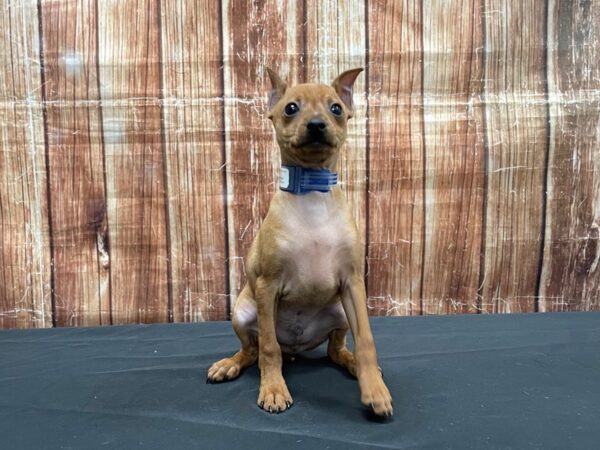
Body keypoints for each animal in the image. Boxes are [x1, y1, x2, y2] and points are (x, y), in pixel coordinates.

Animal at [207, 67, 394, 418]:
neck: (312, 191)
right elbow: (269, 348)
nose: (317, 125)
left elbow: (367, 340)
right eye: (291, 108)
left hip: (340, 311)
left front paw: (375, 390)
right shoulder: (267, 286)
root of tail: (295, 347)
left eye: (336, 109)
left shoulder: (352, 284)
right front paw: (273, 389)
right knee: (254, 350)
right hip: (243, 312)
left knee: (335, 349)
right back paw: (230, 364)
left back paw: (351, 363)